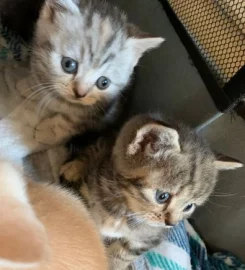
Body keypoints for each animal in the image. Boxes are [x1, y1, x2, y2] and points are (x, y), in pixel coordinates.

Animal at [59, 114, 243, 270]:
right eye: (162, 197)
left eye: (189, 206)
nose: (172, 224)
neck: (125, 212)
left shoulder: (150, 238)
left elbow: (123, 255)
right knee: (93, 148)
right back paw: (73, 168)